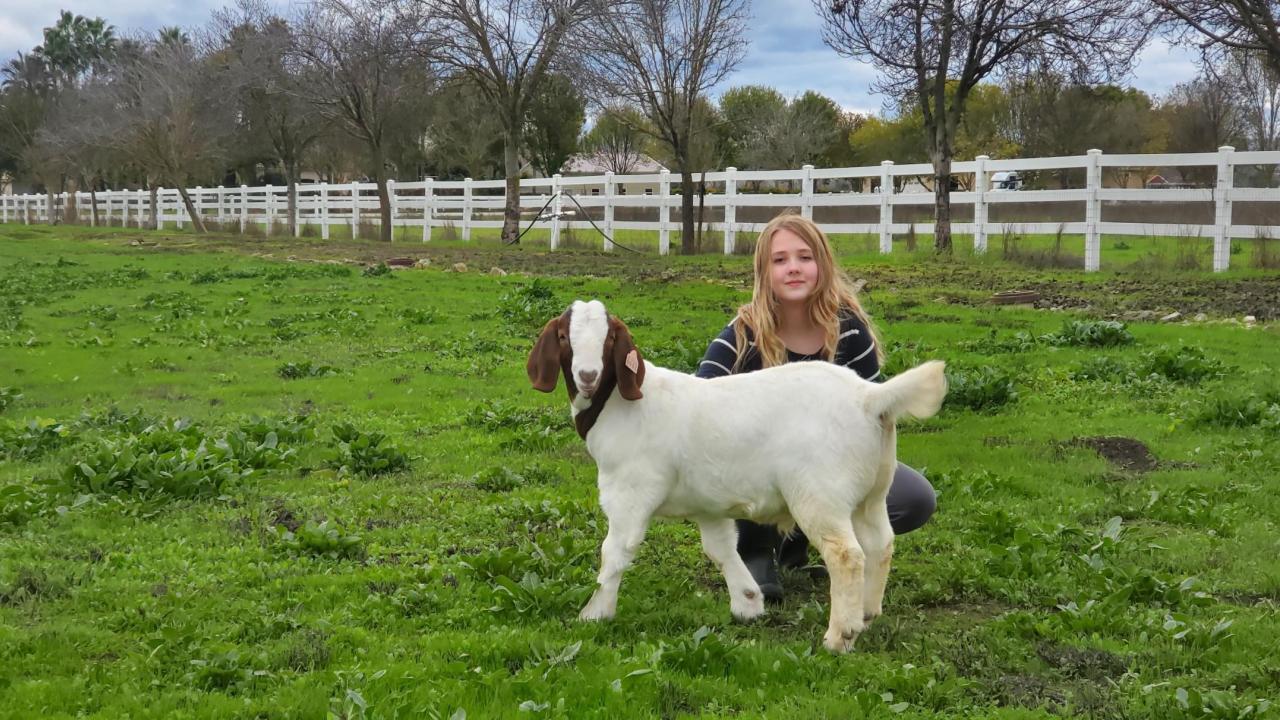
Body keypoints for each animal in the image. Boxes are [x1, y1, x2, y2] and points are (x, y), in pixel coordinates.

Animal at [524, 297, 947, 650]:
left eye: (610, 337)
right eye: (563, 335)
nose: (588, 375)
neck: (622, 403)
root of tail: (869, 398)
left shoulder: (630, 491)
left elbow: (615, 552)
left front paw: (595, 614)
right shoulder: (707, 504)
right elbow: (721, 547)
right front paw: (747, 602)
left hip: (820, 493)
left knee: (846, 554)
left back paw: (839, 635)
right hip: (872, 491)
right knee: (880, 543)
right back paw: (868, 614)